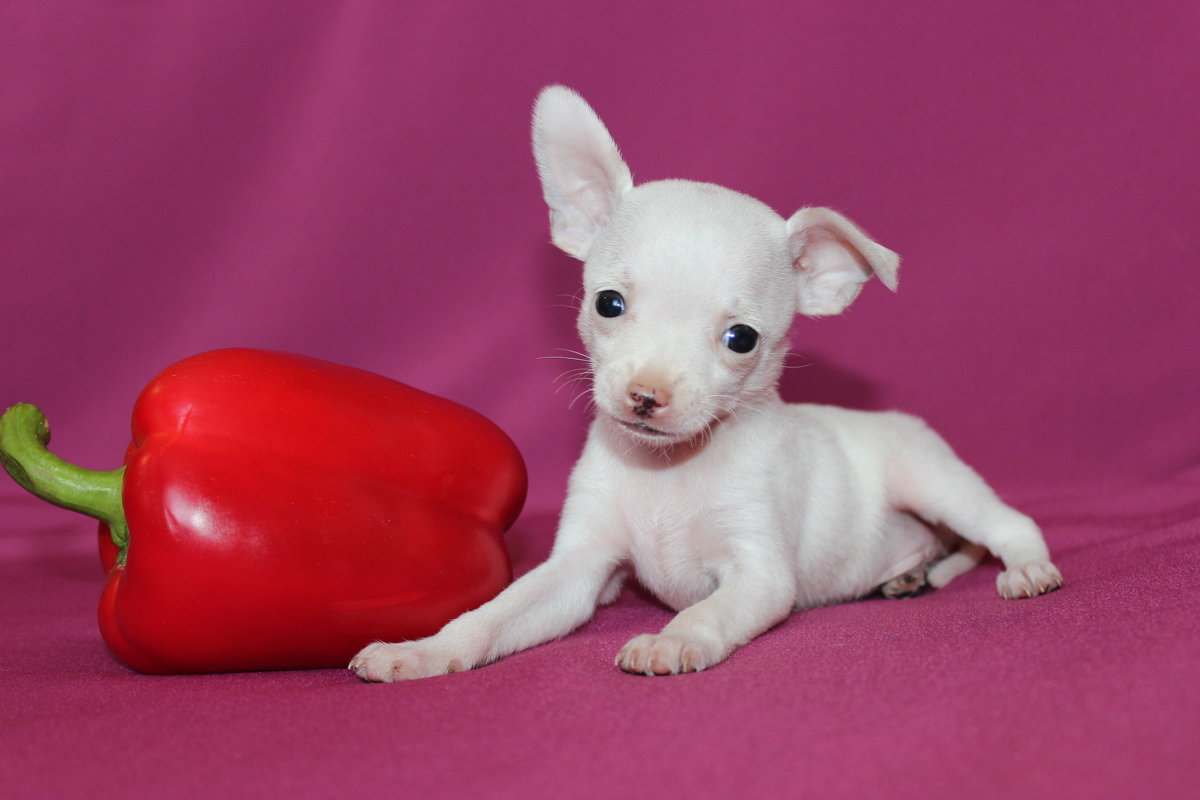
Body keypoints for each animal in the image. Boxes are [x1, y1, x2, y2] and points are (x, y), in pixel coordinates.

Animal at [350, 86, 1060, 681]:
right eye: (608, 303)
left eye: (741, 338)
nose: (646, 396)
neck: (669, 474)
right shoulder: (577, 568)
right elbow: (493, 615)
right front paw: (424, 650)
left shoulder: (759, 575)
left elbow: (708, 610)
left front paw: (672, 639)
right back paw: (910, 577)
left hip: (930, 479)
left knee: (1006, 521)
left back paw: (1026, 567)